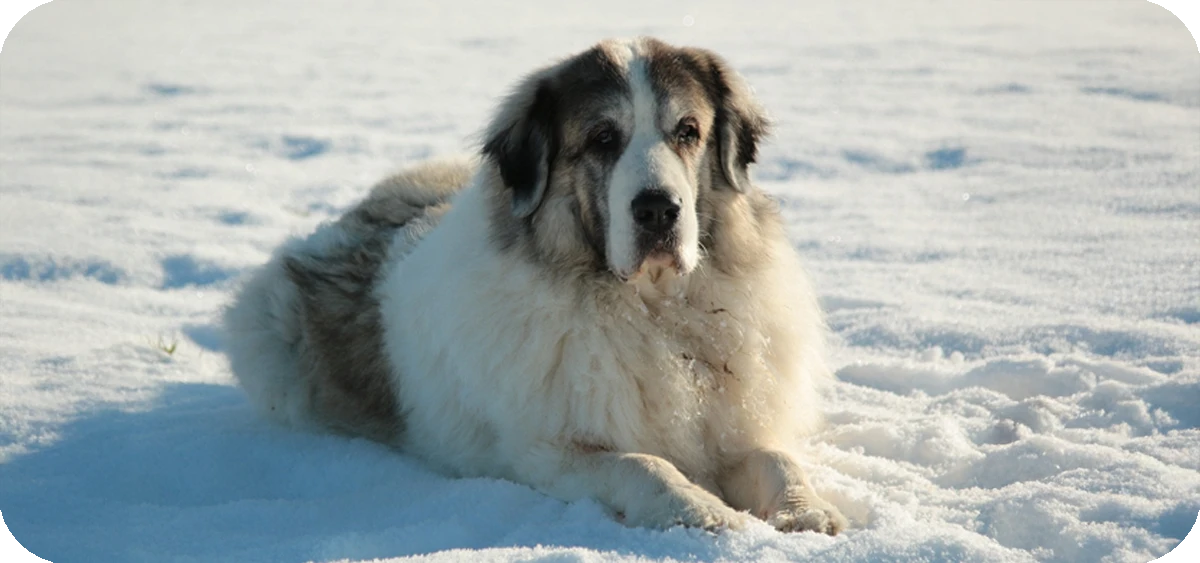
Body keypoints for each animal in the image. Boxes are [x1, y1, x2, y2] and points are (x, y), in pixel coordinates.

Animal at [222, 37, 847, 535]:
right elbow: (642, 465)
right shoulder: (548, 451)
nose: (658, 210)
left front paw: (807, 510)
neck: (652, 312)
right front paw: (699, 509)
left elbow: (776, 459)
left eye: (687, 132)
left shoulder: (736, 424)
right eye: (602, 139)